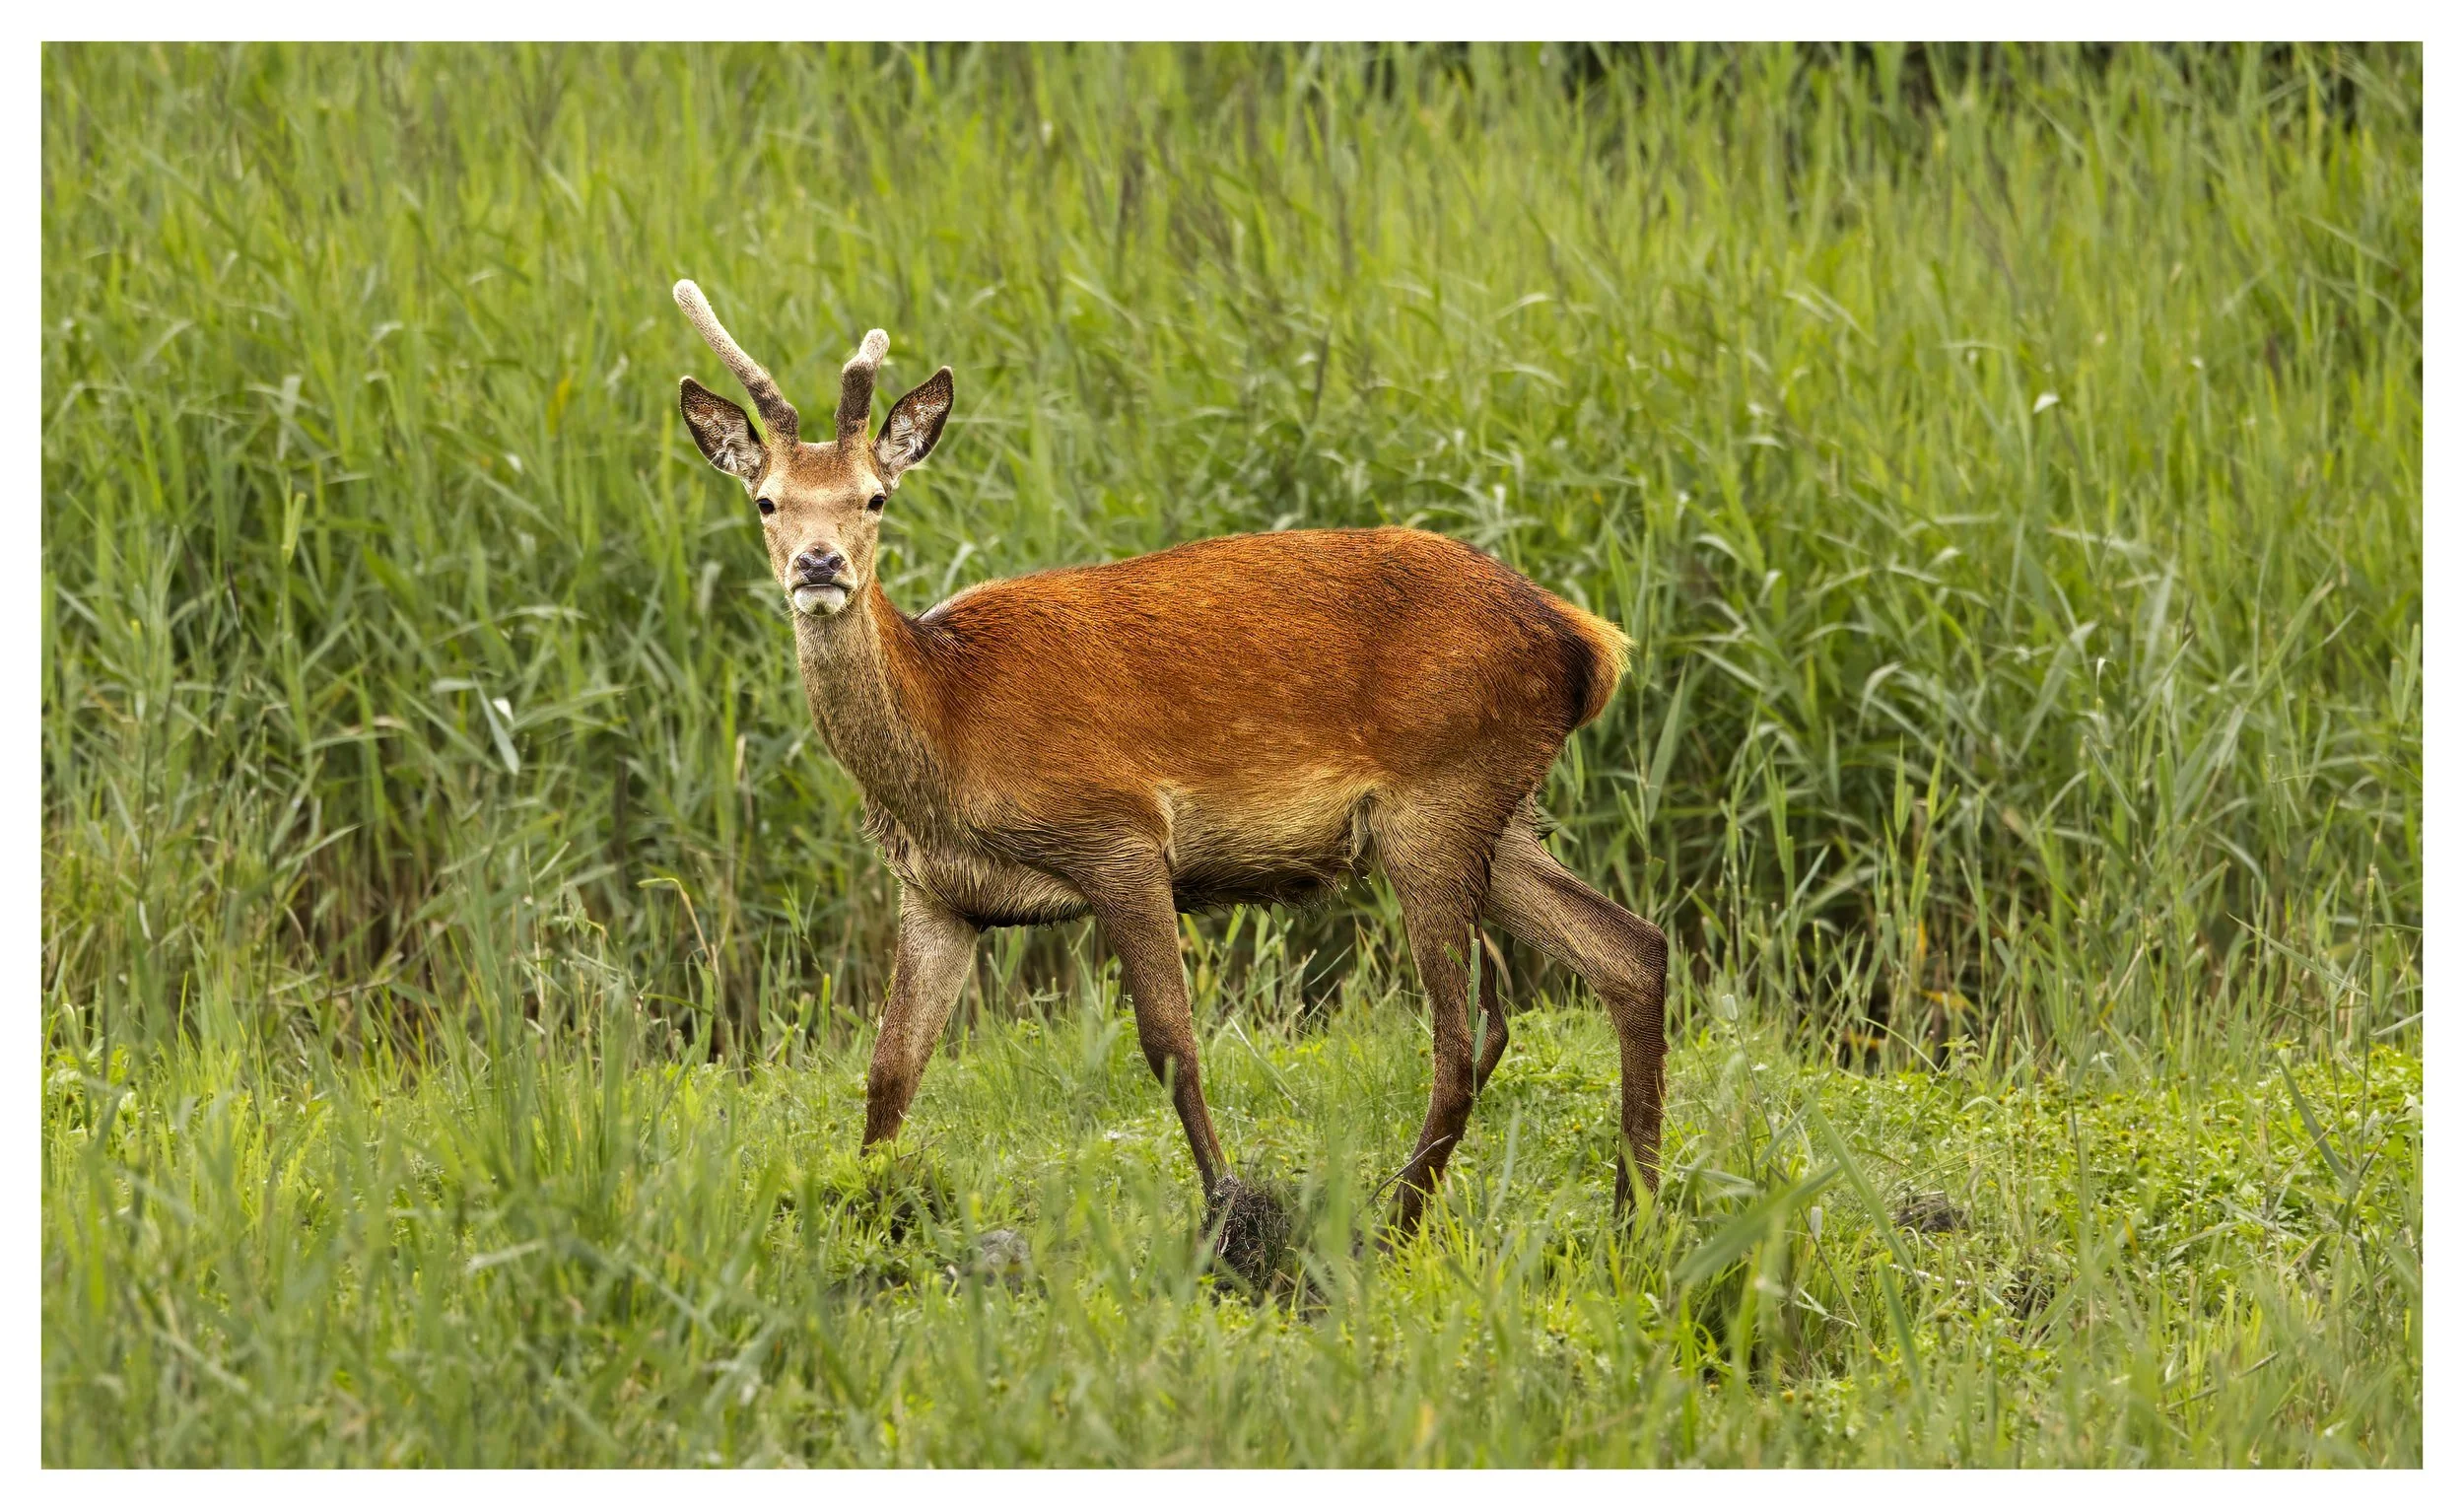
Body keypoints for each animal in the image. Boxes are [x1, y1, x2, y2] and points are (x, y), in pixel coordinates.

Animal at [670, 280, 1669, 1273]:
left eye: (875, 497)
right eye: (766, 502)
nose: (820, 564)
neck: (947, 735)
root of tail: (1588, 643)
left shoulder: (1118, 835)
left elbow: (1171, 1045)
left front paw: (1229, 1216)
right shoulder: (939, 894)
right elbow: (889, 1073)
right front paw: (867, 1218)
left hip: (1437, 797)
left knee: (1462, 1041)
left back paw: (1394, 1227)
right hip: (1495, 812)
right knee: (1631, 951)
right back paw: (1633, 1216)